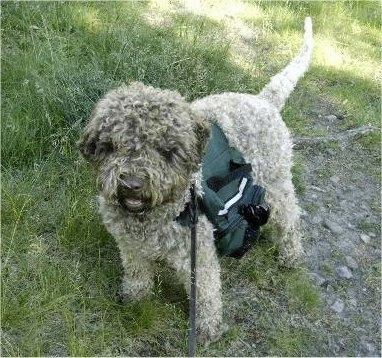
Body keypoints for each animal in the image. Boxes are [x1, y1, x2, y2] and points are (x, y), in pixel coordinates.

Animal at [78, 17, 314, 344]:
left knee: (290, 218)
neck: (148, 219)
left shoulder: (197, 255)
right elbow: (137, 273)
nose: (132, 184)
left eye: (166, 151)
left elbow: (206, 294)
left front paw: (207, 330)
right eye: (113, 145)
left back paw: (291, 255)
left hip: (277, 182)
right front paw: (135, 298)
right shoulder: (129, 245)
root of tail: (262, 100)